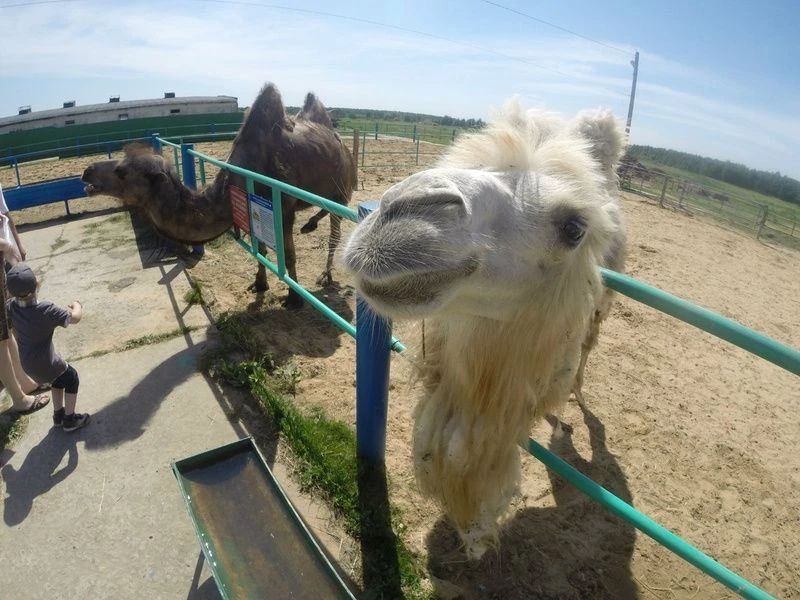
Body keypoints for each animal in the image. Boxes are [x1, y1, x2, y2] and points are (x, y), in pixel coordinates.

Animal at [81, 83, 357, 308]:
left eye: (122, 171)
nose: (86, 172)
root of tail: (343, 144)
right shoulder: (254, 208)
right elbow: (261, 249)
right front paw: (260, 284)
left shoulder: (283, 207)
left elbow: (288, 256)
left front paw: (294, 298)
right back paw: (310, 226)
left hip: (340, 189)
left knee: (335, 230)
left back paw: (326, 275)